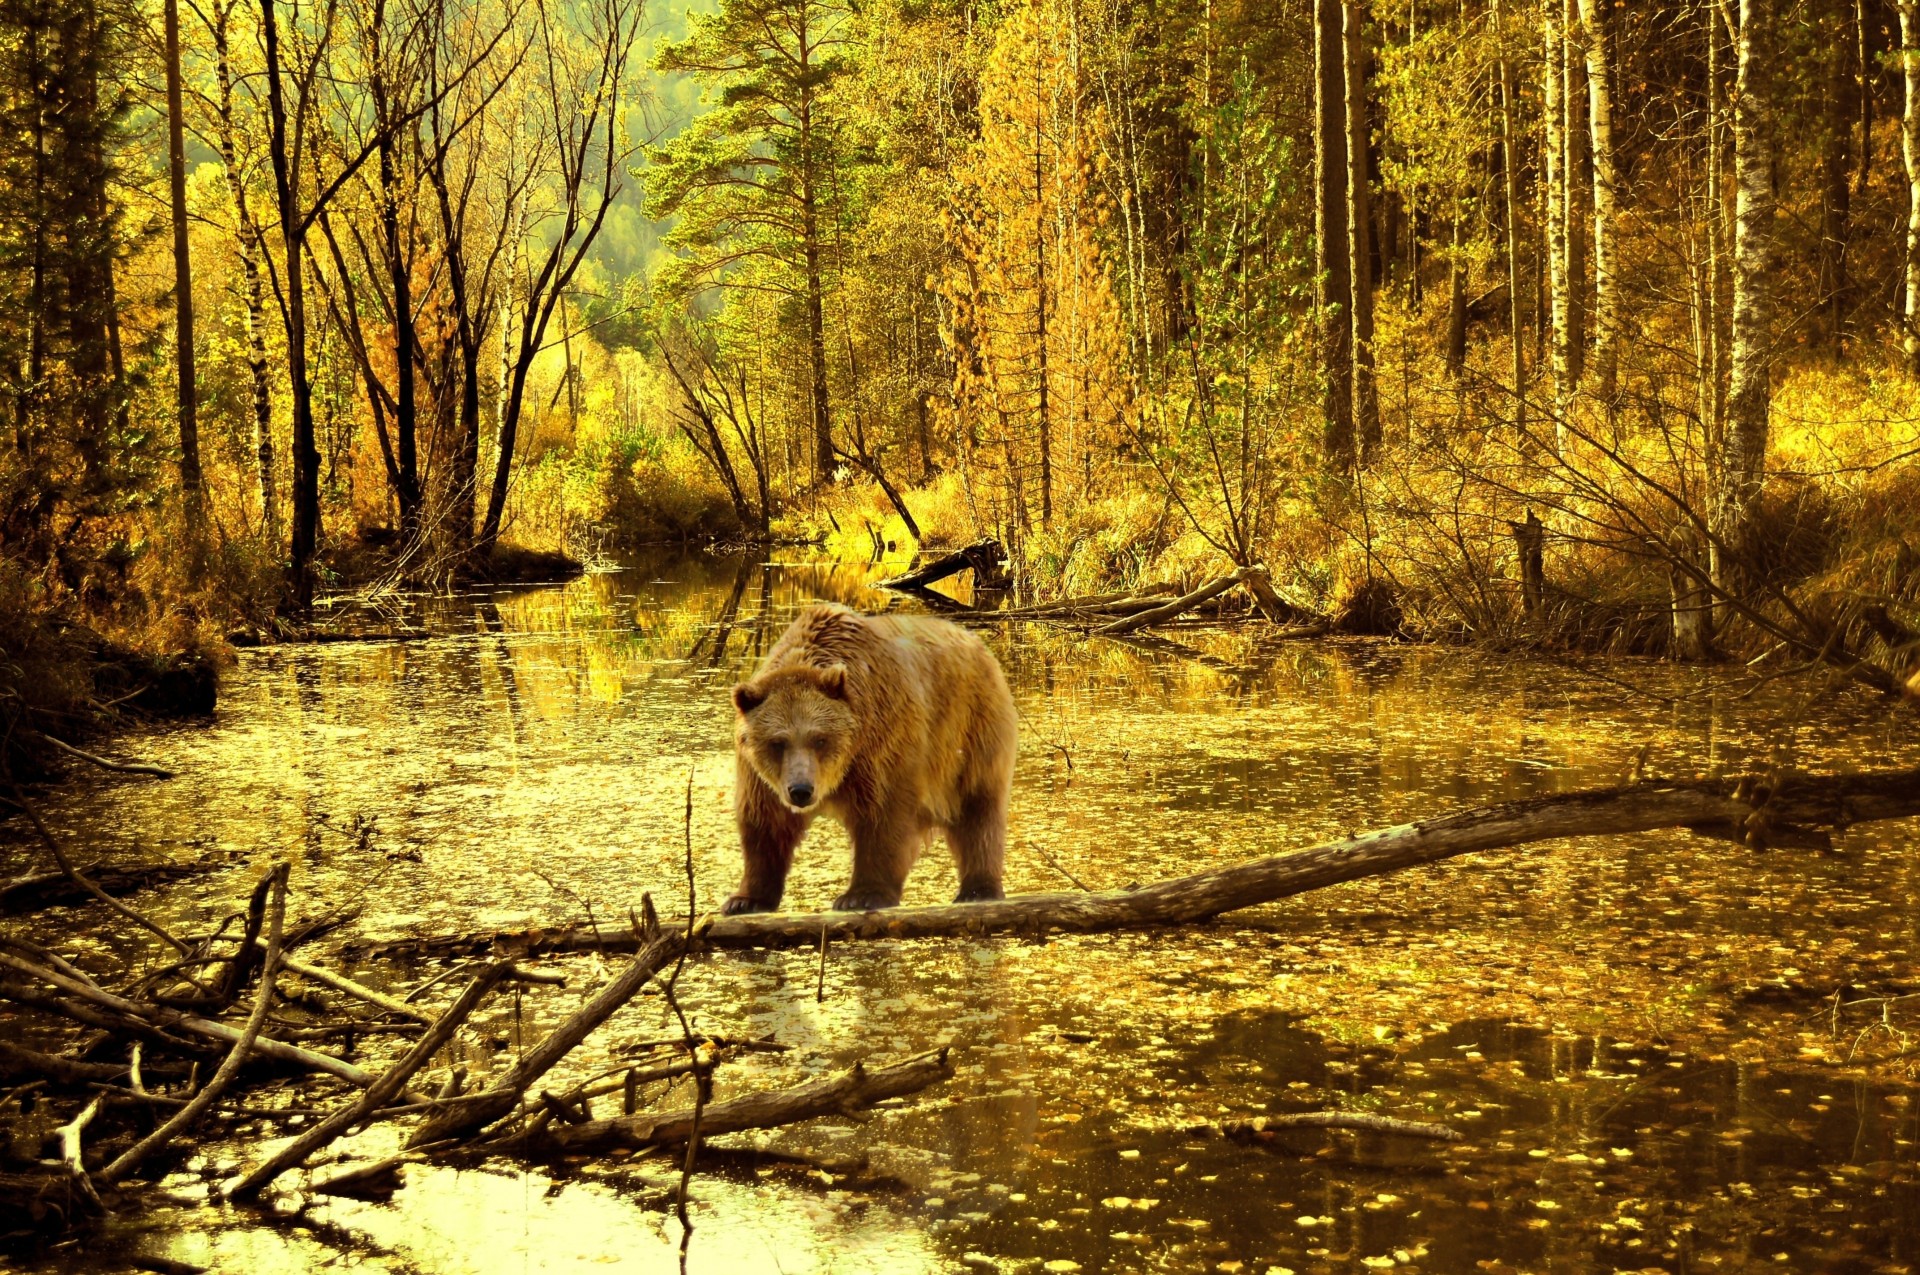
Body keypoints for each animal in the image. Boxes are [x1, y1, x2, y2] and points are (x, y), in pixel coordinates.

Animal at [724, 603, 1017, 914]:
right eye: (777, 742)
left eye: (820, 738)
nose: (801, 790)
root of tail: (976, 642)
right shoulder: (761, 776)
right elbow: (765, 823)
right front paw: (744, 900)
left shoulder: (882, 741)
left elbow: (883, 814)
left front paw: (861, 895)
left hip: (971, 729)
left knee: (978, 808)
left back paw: (978, 889)